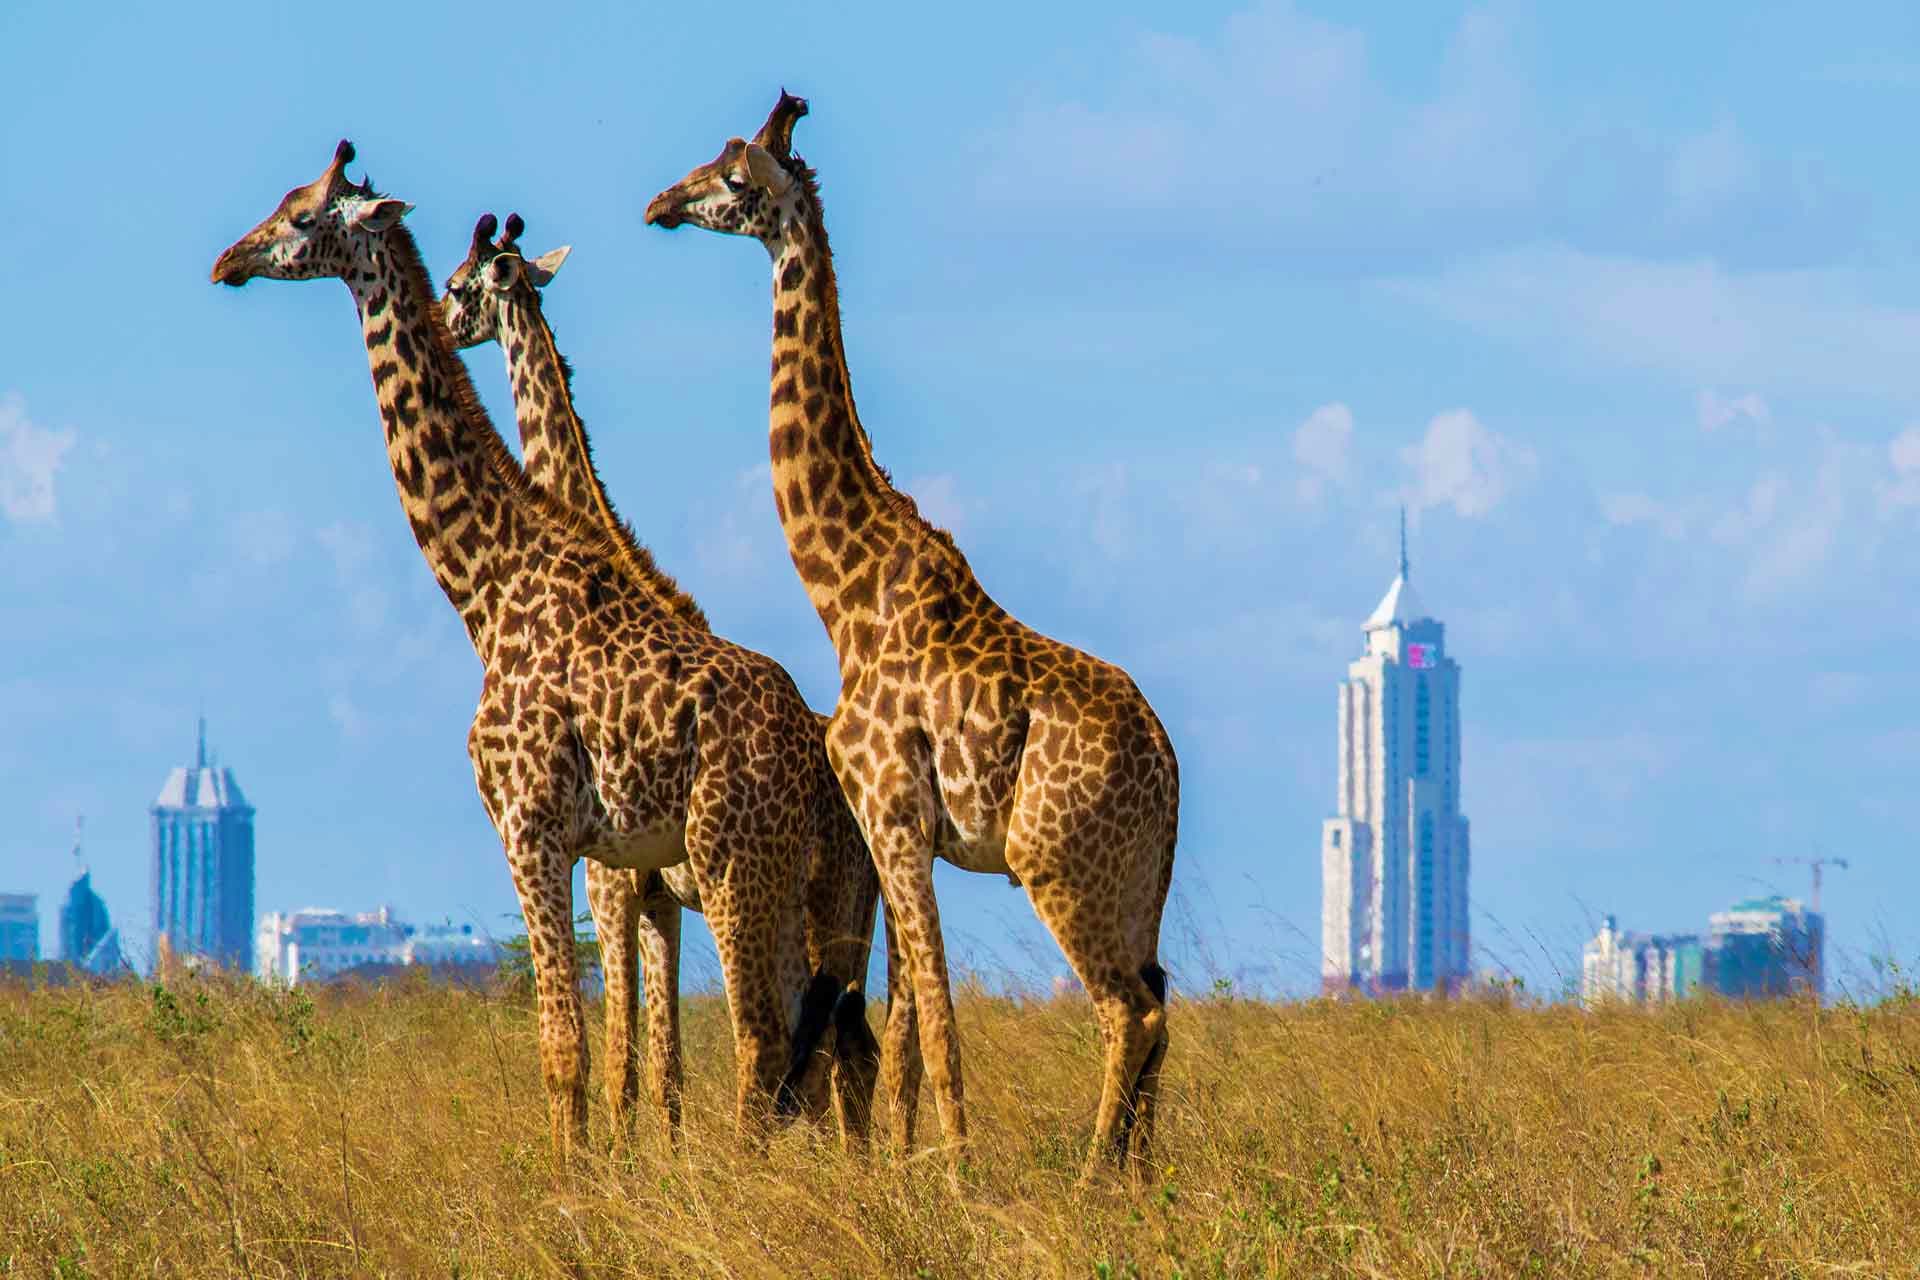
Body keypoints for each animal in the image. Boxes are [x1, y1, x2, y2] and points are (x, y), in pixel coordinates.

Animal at [211, 140, 836, 1161]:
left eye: (302, 216)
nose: (229, 260)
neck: (486, 584)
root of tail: (811, 752)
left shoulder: (535, 829)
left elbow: (570, 1047)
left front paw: (576, 1184)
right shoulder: (614, 861)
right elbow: (626, 1052)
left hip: (734, 862)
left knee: (765, 1040)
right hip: (776, 877)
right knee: (813, 1043)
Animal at [646, 95, 1182, 1180]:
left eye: (730, 176)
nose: (659, 203)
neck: (845, 599)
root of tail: (1169, 767)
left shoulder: (893, 812)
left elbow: (932, 1017)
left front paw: (956, 1174)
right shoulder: (892, 828)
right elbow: (895, 1027)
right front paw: (903, 1169)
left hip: (1057, 863)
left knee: (1128, 1012)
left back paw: (1090, 1179)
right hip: (1136, 882)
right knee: (1162, 1002)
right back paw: (1142, 1181)